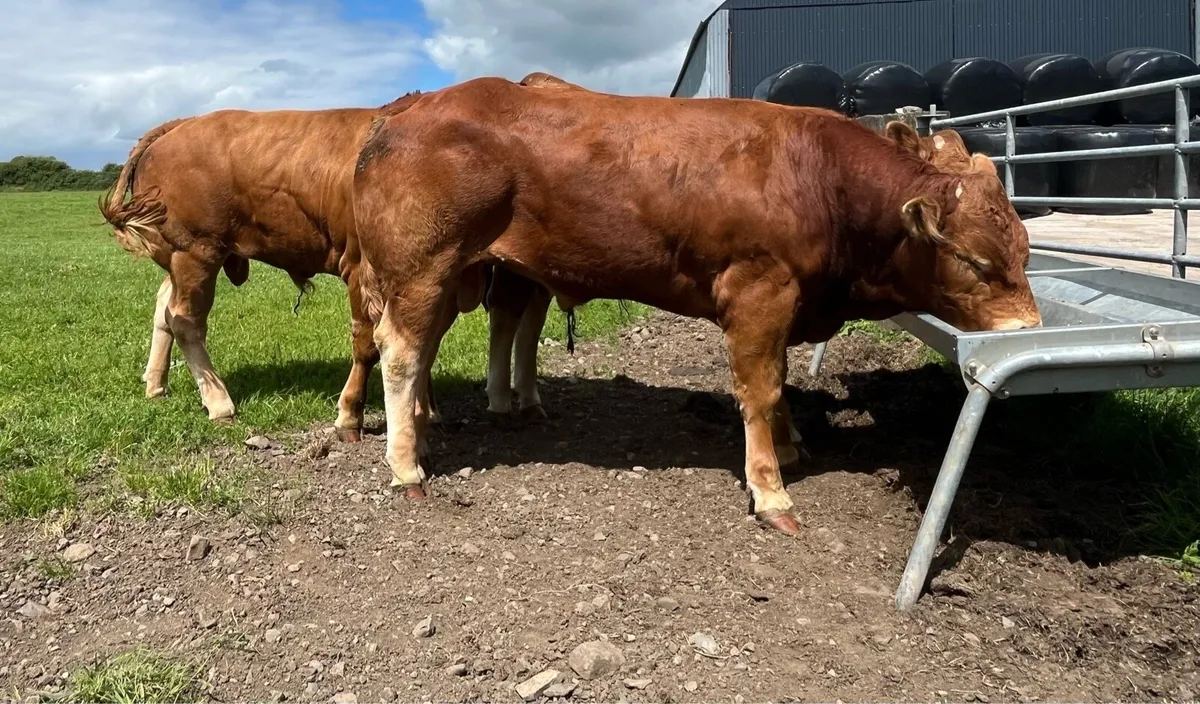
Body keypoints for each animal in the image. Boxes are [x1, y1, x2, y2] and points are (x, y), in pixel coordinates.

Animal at [98, 91, 551, 444]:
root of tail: (182, 123)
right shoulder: (365, 273)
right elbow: (369, 344)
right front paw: (353, 417)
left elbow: (426, 343)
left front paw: (426, 410)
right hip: (197, 251)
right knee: (185, 319)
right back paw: (219, 402)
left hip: (182, 255)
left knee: (164, 308)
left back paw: (156, 384)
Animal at [349, 77, 1042, 534]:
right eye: (977, 263)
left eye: (1025, 250)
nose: (1028, 329)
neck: (816, 175)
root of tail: (406, 108)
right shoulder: (759, 290)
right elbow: (759, 388)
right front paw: (771, 491)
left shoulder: (785, 302)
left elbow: (778, 380)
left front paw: (790, 446)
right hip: (422, 267)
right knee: (401, 353)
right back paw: (406, 468)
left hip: (451, 275)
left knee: (426, 348)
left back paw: (425, 439)